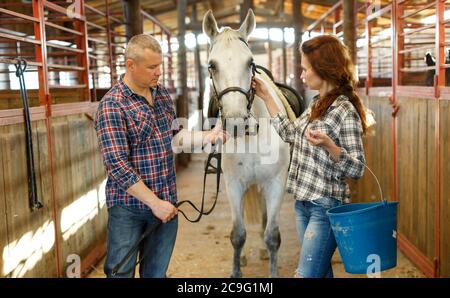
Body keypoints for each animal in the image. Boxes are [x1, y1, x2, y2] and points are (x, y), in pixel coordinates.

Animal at [202, 9, 290, 280]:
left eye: (250, 63)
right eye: (212, 65)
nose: (236, 122)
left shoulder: (275, 183)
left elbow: (272, 235)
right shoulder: (234, 184)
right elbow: (237, 234)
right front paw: (236, 271)